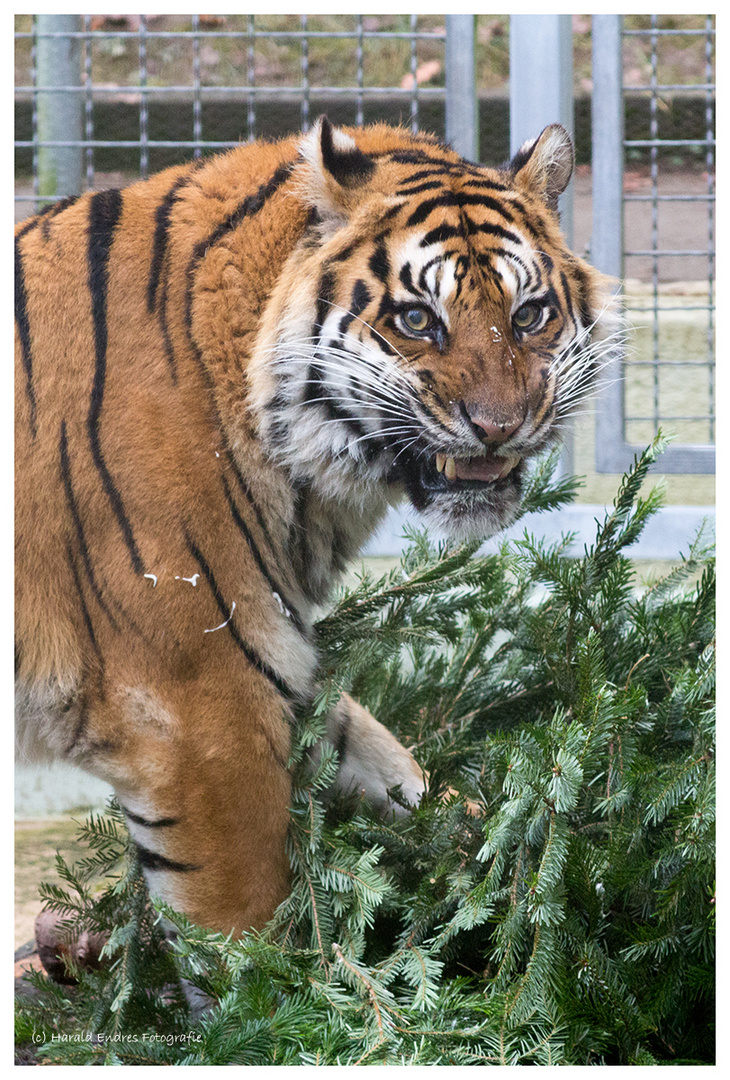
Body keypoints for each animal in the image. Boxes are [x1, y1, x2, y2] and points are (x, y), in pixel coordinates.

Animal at [14, 116, 617, 928]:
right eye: (417, 320)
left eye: (528, 315)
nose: (499, 428)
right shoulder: (196, 713)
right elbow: (245, 935)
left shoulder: (276, 663)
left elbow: (391, 764)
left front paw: (494, 858)